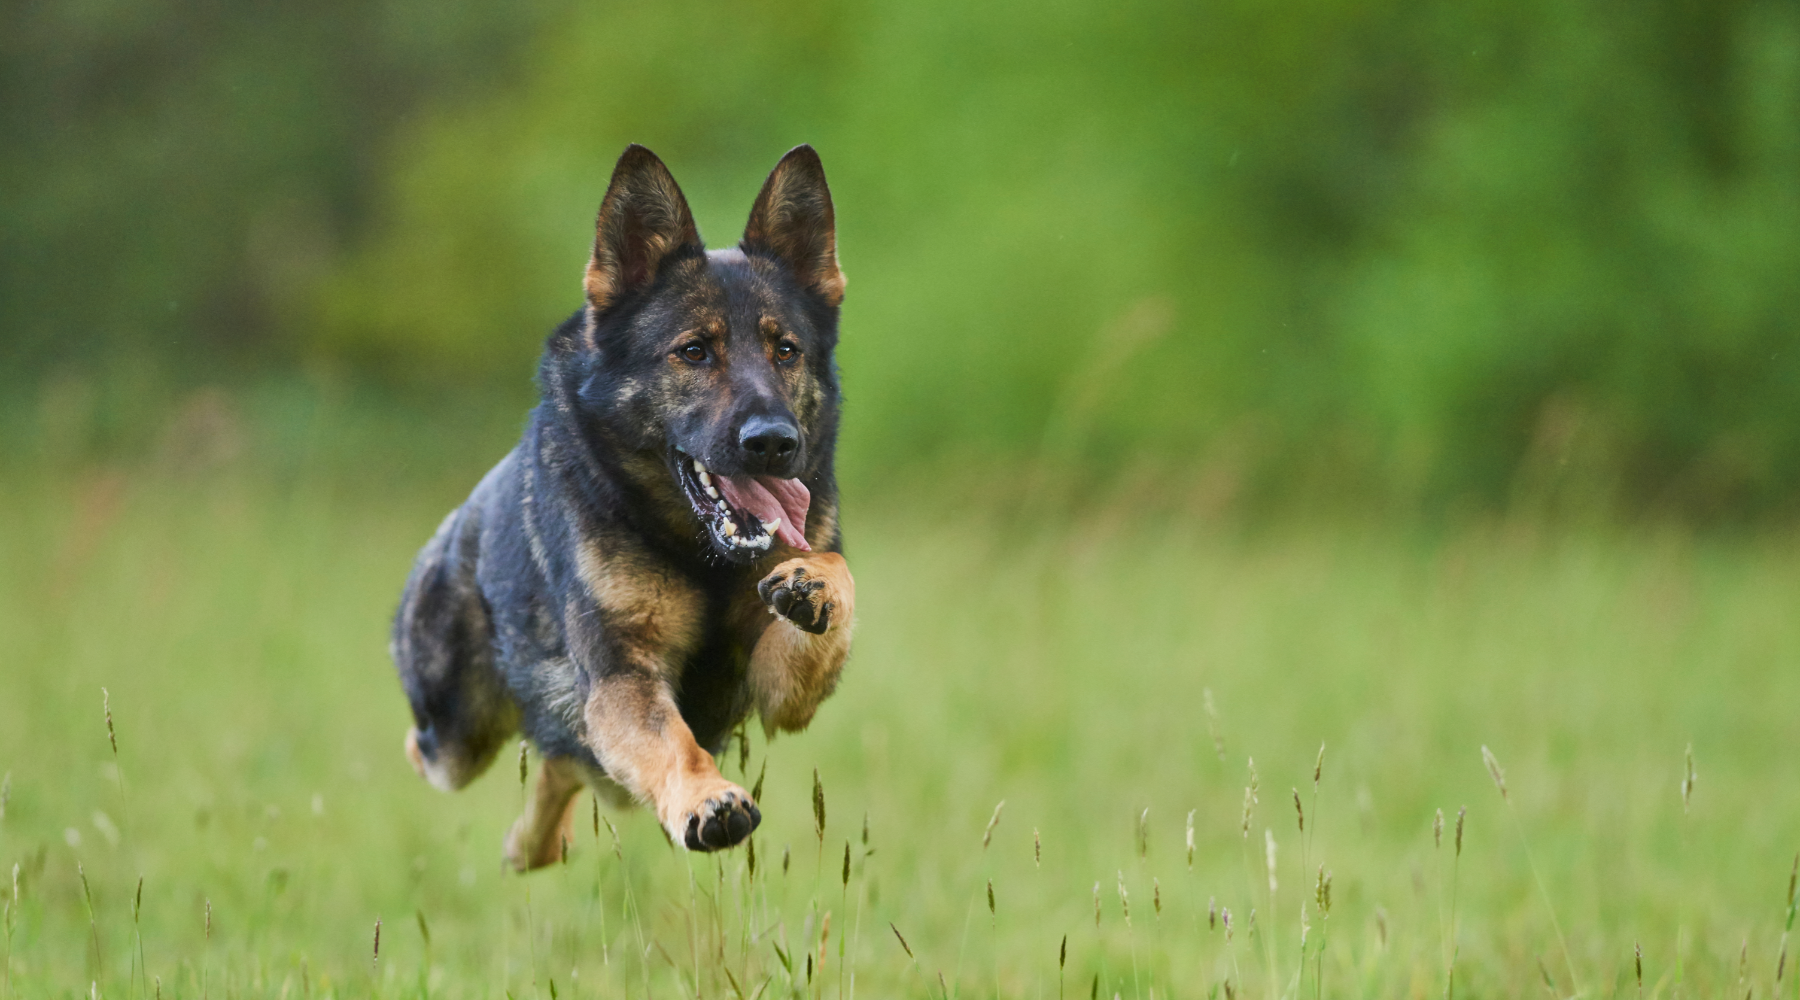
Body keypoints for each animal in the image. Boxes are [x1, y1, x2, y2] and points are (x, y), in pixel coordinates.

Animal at [390, 142, 853, 866]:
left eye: (786, 350)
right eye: (694, 351)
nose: (774, 443)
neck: (701, 558)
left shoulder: (781, 692)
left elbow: (834, 584)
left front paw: (816, 585)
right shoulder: (622, 677)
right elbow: (672, 742)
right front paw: (707, 799)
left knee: (565, 766)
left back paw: (535, 842)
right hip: (456, 732)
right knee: (442, 747)